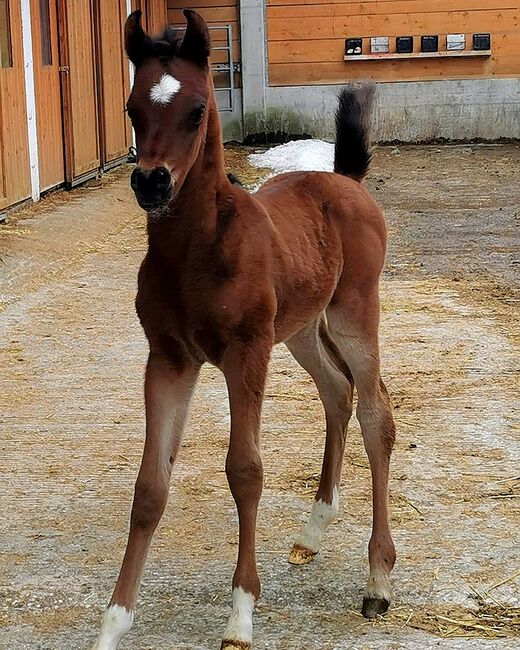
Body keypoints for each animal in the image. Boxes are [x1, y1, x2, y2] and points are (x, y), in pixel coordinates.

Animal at [92, 8, 398, 644]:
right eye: (132, 108)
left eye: (197, 109)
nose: (151, 183)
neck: (198, 251)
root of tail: (347, 181)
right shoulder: (168, 359)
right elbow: (150, 486)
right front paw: (112, 625)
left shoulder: (246, 352)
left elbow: (246, 470)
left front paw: (240, 614)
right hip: (302, 330)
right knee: (337, 392)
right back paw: (312, 533)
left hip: (353, 315)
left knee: (375, 413)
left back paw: (378, 580)